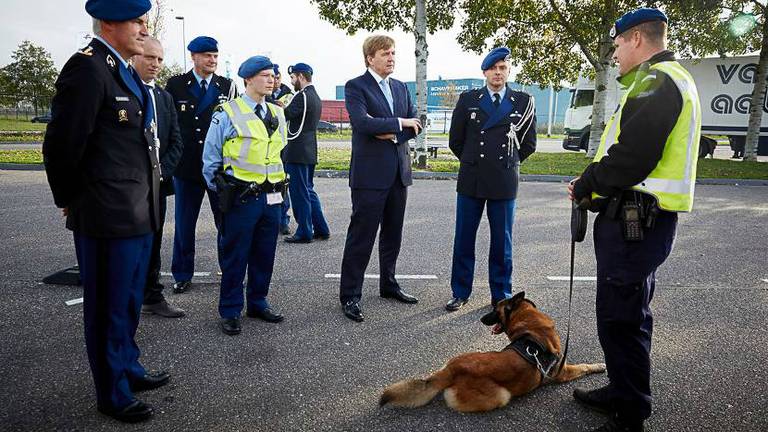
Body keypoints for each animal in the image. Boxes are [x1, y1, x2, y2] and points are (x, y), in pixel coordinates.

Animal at [378, 290, 608, 412]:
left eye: (495, 310)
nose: (481, 318)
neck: (530, 326)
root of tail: (451, 370)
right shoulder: (562, 371)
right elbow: (584, 366)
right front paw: (599, 365)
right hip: (502, 395)